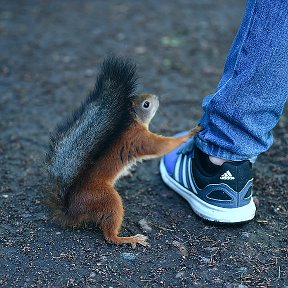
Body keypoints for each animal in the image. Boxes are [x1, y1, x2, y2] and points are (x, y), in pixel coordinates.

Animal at [46, 56, 201, 248]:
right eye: (146, 104)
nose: (156, 97)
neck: (133, 122)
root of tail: (71, 211)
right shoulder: (140, 138)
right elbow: (160, 146)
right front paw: (189, 134)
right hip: (106, 199)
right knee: (109, 234)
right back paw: (128, 238)